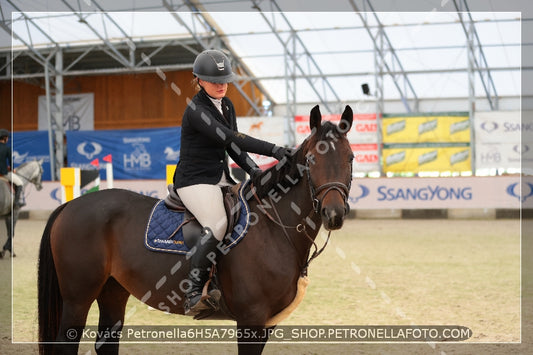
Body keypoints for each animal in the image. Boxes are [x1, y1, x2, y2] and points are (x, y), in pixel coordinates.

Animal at [36, 104, 354, 354]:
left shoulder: (266, 324)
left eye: (350, 158)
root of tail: (71, 205)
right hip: (78, 297)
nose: (334, 214)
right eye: (311, 160)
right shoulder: (251, 319)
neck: (274, 229)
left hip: (113, 291)